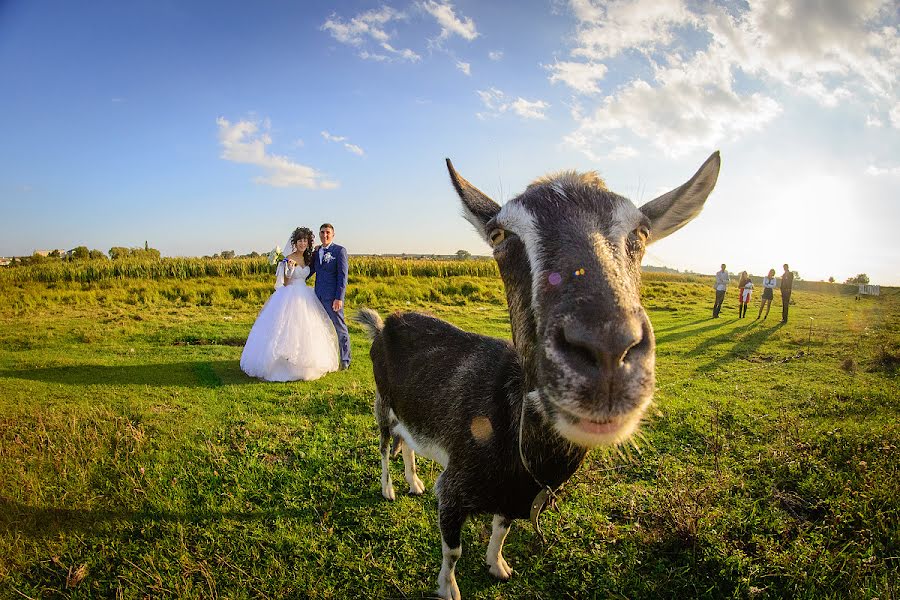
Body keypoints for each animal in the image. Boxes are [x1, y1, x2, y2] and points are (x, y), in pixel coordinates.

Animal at [356, 152, 720, 596]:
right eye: (498, 235)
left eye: (643, 231)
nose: (607, 352)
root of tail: (382, 324)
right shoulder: (454, 489)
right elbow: (453, 551)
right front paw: (448, 589)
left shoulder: (517, 497)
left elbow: (501, 531)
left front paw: (498, 566)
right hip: (382, 402)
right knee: (383, 447)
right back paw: (390, 489)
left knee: (407, 443)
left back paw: (413, 483)